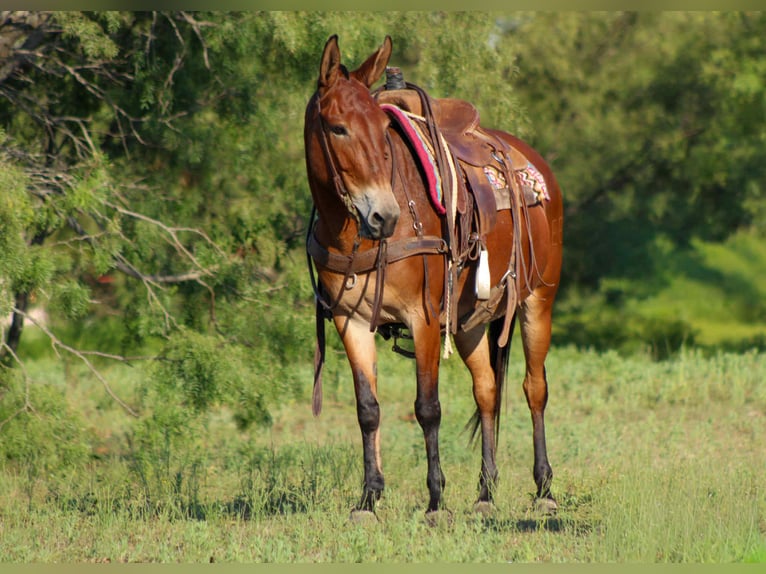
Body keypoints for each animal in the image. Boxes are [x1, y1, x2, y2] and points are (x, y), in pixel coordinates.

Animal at [304, 34, 563, 521]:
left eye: (382, 130)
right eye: (337, 128)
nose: (383, 216)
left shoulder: (422, 320)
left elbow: (427, 408)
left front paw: (435, 501)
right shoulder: (351, 322)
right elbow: (367, 409)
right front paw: (368, 498)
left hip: (537, 301)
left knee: (533, 389)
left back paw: (544, 490)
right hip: (469, 324)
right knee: (487, 391)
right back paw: (485, 494)